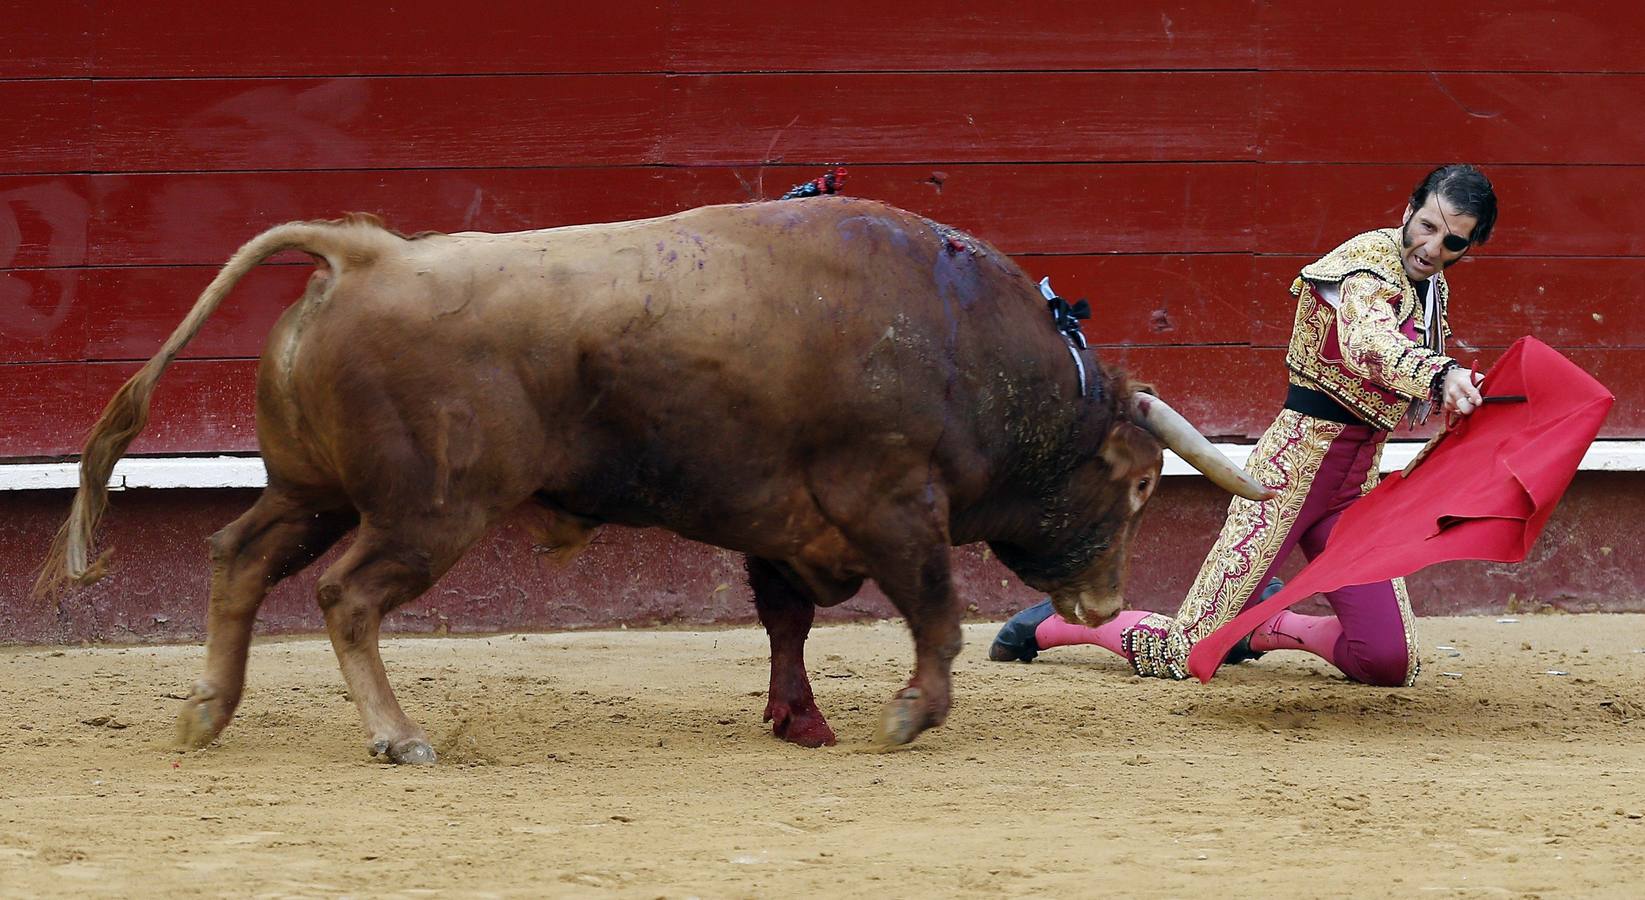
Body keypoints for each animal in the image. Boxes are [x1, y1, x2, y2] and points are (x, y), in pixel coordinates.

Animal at [38, 195, 1269, 760]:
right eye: (1141, 487)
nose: (1105, 605)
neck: (971, 345)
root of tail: (363, 253)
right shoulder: (890, 503)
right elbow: (934, 613)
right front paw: (908, 715)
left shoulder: (785, 525)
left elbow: (785, 621)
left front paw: (799, 721)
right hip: (429, 512)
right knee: (346, 596)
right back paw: (397, 734)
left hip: (313, 490)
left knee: (239, 556)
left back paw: (208, 710)